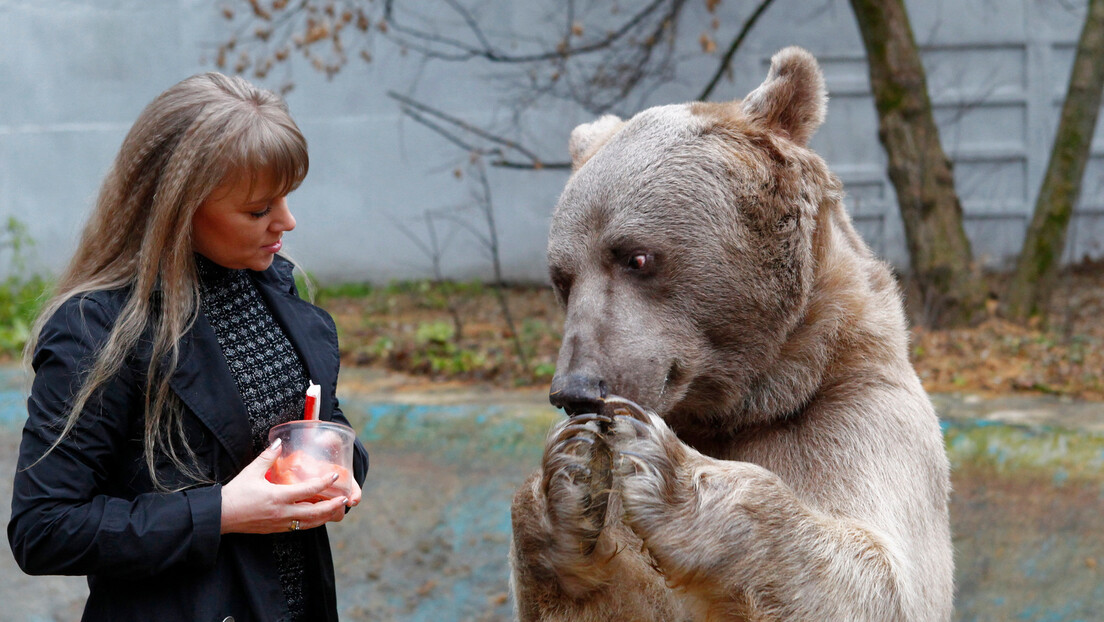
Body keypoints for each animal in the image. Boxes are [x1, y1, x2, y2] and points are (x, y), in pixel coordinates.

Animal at [507, 46, 949, 618]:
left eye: (636, 257)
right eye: (562, 278)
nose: (576, 391)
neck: (751, 404)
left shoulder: (858, 415)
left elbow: (881, 578)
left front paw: (663, 467)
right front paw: (566, 476)